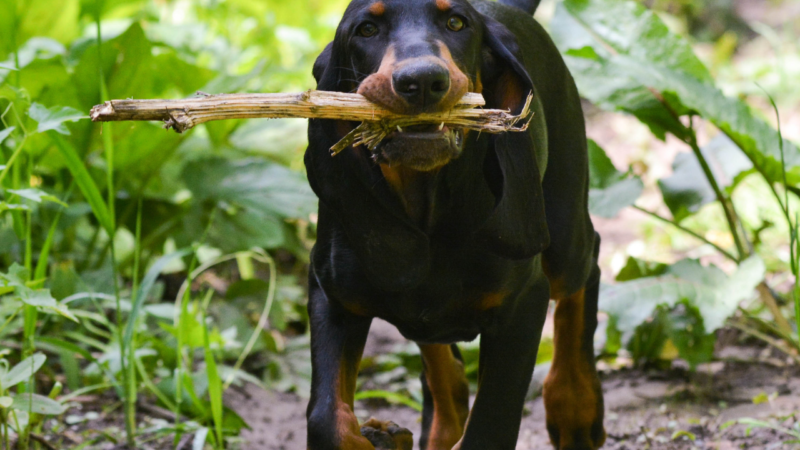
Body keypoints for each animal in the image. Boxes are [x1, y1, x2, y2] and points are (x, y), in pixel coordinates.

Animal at [304, 0, 604, 448]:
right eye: (367, 30)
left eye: (455, 23)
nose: (422, 81)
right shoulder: (333, 295)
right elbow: (325, 418)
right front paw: (379, 436)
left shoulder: (523, 303)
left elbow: (490, 426)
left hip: (562, 231)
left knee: (585, 268)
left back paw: (575, 409)